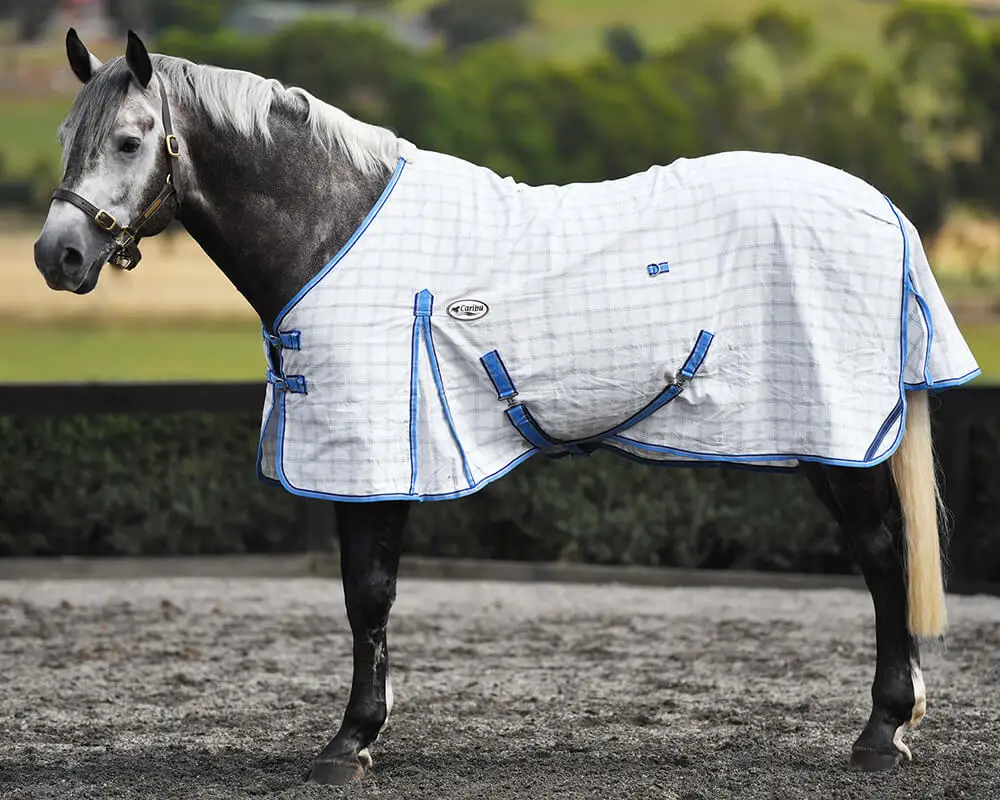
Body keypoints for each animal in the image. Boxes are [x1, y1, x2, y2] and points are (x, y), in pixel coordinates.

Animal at [33, 30, 981, 785]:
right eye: (65, 137)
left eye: (129, 141)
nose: (57, 255)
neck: (334, 227)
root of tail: (878, 204)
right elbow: (364, 597)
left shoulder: (376, 455)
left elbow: (366, 594)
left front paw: (349, 744)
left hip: (837, 440)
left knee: (883, 556)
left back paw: (882, 732)